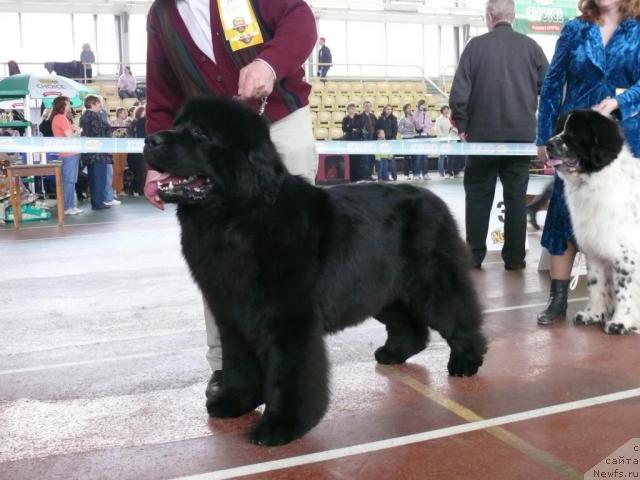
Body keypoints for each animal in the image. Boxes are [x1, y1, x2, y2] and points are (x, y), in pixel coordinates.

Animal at [144, 97, 484, 446]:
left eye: (200, 132)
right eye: (176, 124)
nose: (150, 140)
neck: (235, 220)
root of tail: (434, 198)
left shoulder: (287, 316)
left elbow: (288, 370)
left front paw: (281, 424)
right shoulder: (231, 313)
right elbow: (238, 362)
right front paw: (235, 401)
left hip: (430, 280)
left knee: (457, 313)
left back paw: (466, 361)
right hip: (378, 290)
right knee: (410, 325)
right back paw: (395, 352)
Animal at [544, 108, 640, 334]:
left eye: (574, 132)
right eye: (559, 128)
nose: (548, 144)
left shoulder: (626, 252)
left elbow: (624, 288)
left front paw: (620, 322)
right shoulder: (595, 248)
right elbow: (596, 285)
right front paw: (592, 315)